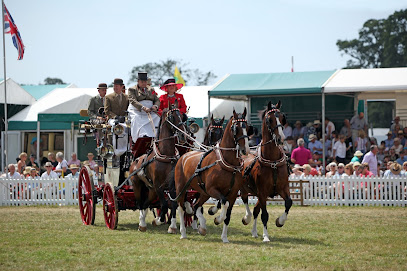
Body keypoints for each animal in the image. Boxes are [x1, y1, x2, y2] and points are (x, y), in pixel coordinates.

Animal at [129, 102, 188, 234]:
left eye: (182, 116)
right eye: (172, 117)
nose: (183, 135)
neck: (167, 156)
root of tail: (134, 161)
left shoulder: (171, 185)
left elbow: (173, 204)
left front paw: (172, 226)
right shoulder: (158, 185)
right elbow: (165, 205)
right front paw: (158, 220)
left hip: (151, 190)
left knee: (145, 204)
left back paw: (143, 222)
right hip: (137, 185)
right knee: (140, 204)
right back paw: (141, 223)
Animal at [171, 109, 250, 243]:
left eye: (247, 127)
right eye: (236, 128)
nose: (246, 149)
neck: (227, 163)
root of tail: (183, 156)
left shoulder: (233, 194)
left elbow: (227, 215)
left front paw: (224, 237)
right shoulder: (212, 189)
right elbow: (224, 203)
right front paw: (217, 219)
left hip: (203, 193)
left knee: (196, 205)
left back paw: (201, 227)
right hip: (181, 188)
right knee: (181, 208)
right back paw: (183, 232)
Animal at [241, 101, 292, 243]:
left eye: (283, 118)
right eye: (269, 119)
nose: (281, 138)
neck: (272, 161)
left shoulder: (283, 188)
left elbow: (289, 203)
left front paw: (280, 221)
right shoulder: (263, 191)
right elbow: (265, 214)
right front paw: (266, 236)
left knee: (255, 210)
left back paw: (254, 232)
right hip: (244, 189)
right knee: (245, 201)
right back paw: (246, 218)